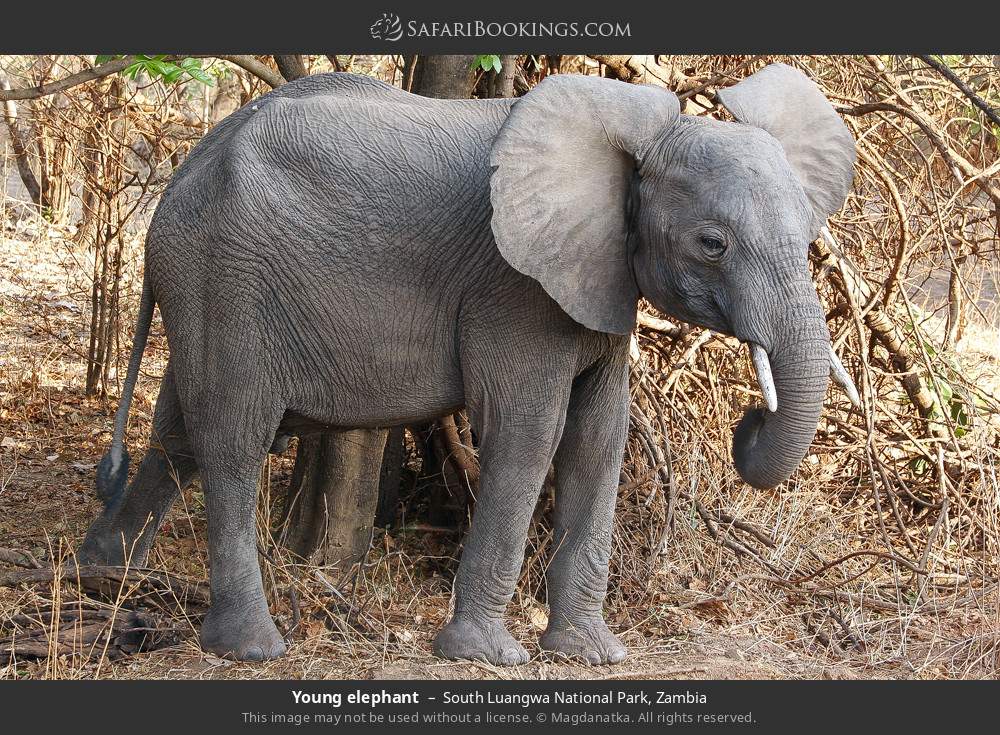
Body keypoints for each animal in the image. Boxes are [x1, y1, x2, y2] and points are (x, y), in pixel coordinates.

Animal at [78, 64, 860, 668]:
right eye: (712, 243)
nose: (750, 420)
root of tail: (181, 174)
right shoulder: (512, 289)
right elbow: (528, 433)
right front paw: (489, 656)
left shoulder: (597, 279)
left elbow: (598, 440)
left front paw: (592, 656)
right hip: (226, 281)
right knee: (233, 442)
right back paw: (250, 647)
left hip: (206, 288)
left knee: (178, 435)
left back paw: (105, 581)